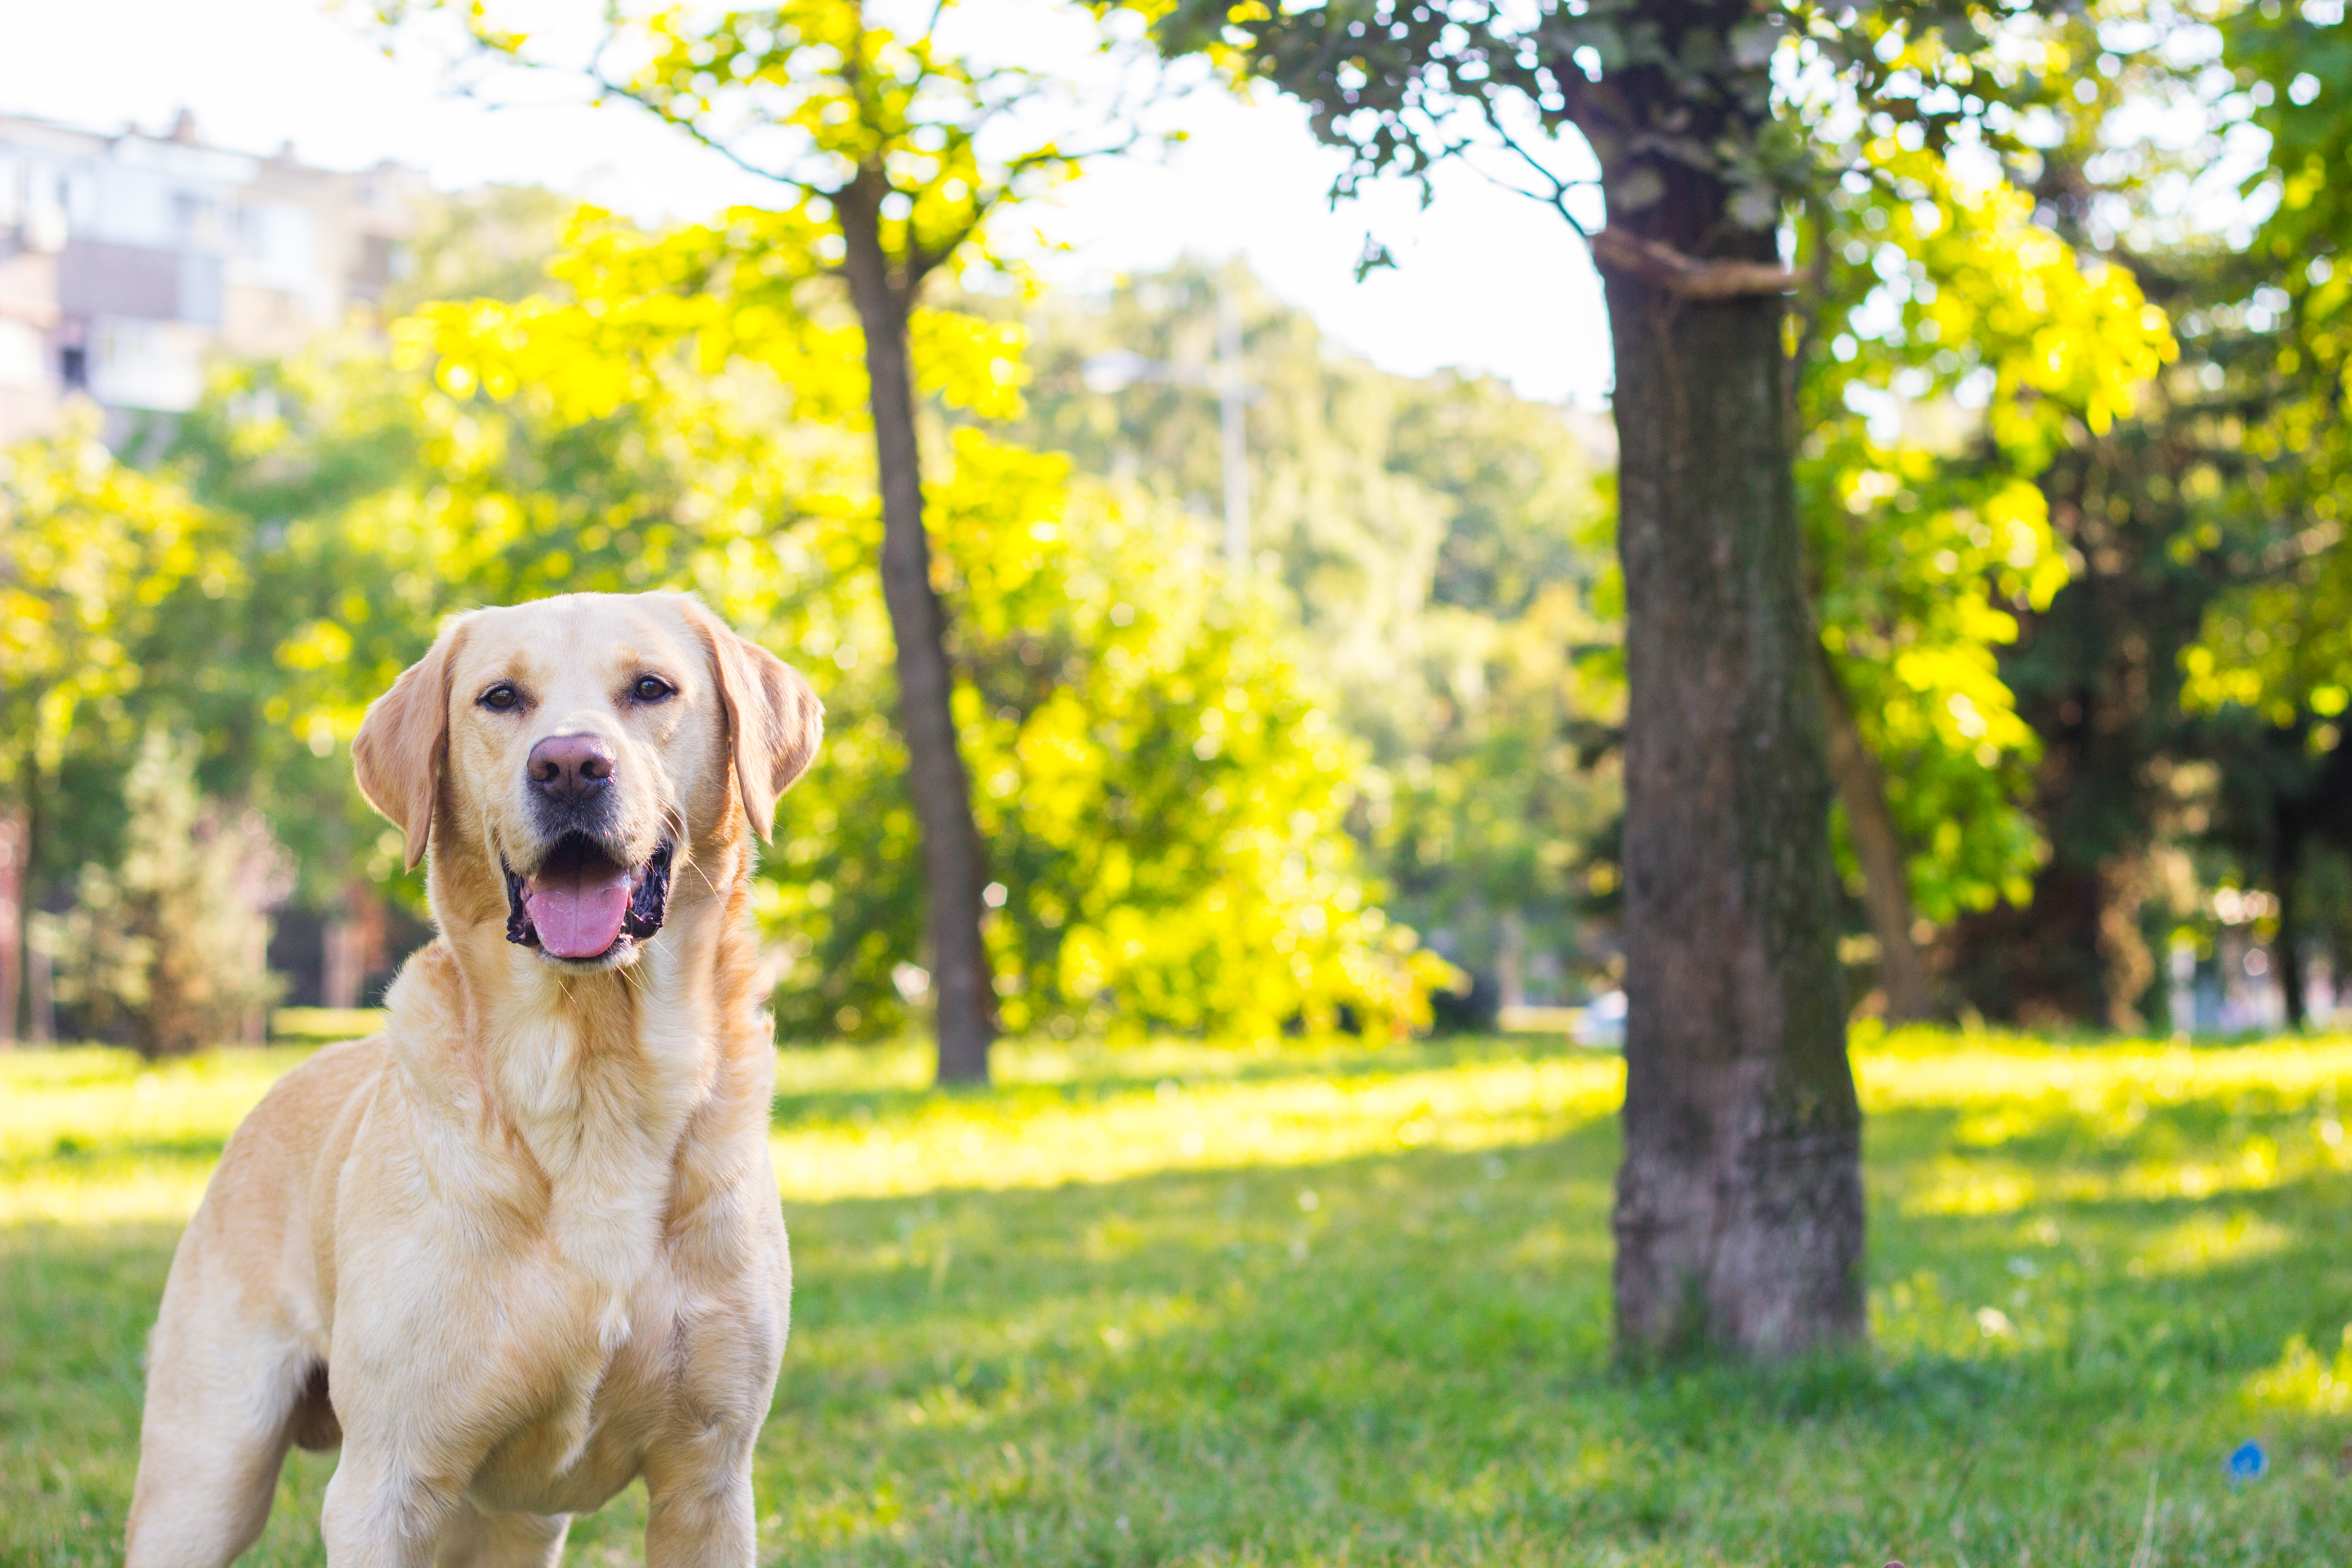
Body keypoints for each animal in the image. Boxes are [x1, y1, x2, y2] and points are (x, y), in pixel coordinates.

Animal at [133, 594, 828, 1561]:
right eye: (500, 698)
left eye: (651, 688)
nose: (569, 766)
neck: (593, 1079)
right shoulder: (384, 1487)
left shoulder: (709, 1481)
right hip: (206, 1475)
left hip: (510, 1524)